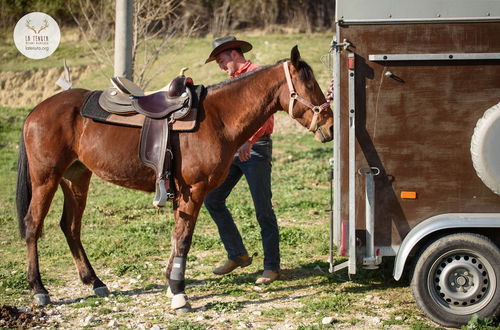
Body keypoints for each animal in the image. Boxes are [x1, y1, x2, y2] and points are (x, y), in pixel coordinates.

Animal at [16, 46, 332, 312]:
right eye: (310, 85)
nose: (329, 125)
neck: (218, 118)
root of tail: (36, 111)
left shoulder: (183, 193)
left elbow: (177, 236)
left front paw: (171, 283)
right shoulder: (194, 190)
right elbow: (183, 239)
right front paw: (179, 294)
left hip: (76, 179)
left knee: (70, 227)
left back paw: (95, 282)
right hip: (46, 179)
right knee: (33, 225)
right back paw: (39, 290)